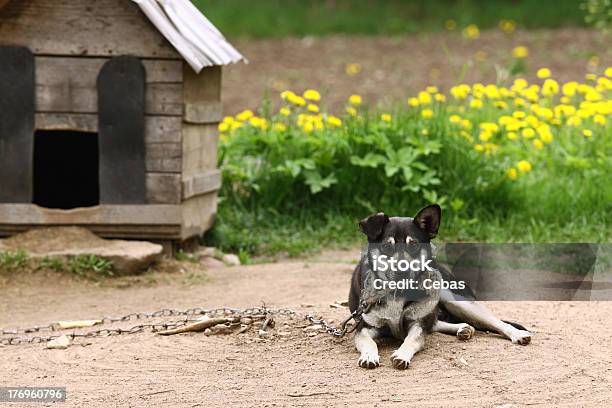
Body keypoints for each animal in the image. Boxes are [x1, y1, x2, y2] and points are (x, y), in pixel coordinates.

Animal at [350, 206, 532, 368]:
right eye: (387, 246)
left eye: (414, 245)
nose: (402, 271)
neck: (398, 292)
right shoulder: (364, 327)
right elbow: (369, 342)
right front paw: (369, 356)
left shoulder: (417, 324)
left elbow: (412, 339)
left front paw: (401, 354)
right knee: (436, 322)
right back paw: (463, 328)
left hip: (456, 300)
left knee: (493, 321)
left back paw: (516, 334)